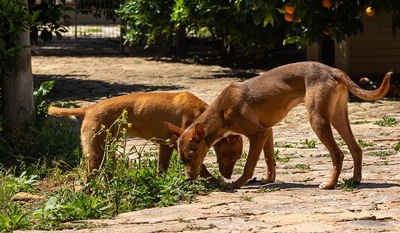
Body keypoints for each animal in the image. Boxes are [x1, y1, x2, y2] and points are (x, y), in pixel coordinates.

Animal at [48, 92, 242, 182]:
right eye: (233, 156)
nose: (228, 176)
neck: (202, 111)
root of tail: (89, 108)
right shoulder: (185, 146)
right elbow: (201, 167)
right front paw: (213, 180)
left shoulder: (167, 145)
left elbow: (161, 169)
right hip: (96, 155)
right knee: (88, 179)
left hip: (106, 152)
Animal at [165, 62, 390, 189]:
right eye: (181, 159)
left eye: (192, 155)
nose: (188, 179)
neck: (221, 109)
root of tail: (333, 70)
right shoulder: (267, 131)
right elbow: (269, 159)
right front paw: (267, 179)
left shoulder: (258, 134)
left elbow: (249, 166)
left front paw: (236, 184)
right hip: (338, 118)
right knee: (356, 149)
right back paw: (355, 180)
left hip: (318, 120)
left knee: (338, 154)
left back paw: (329, 184)